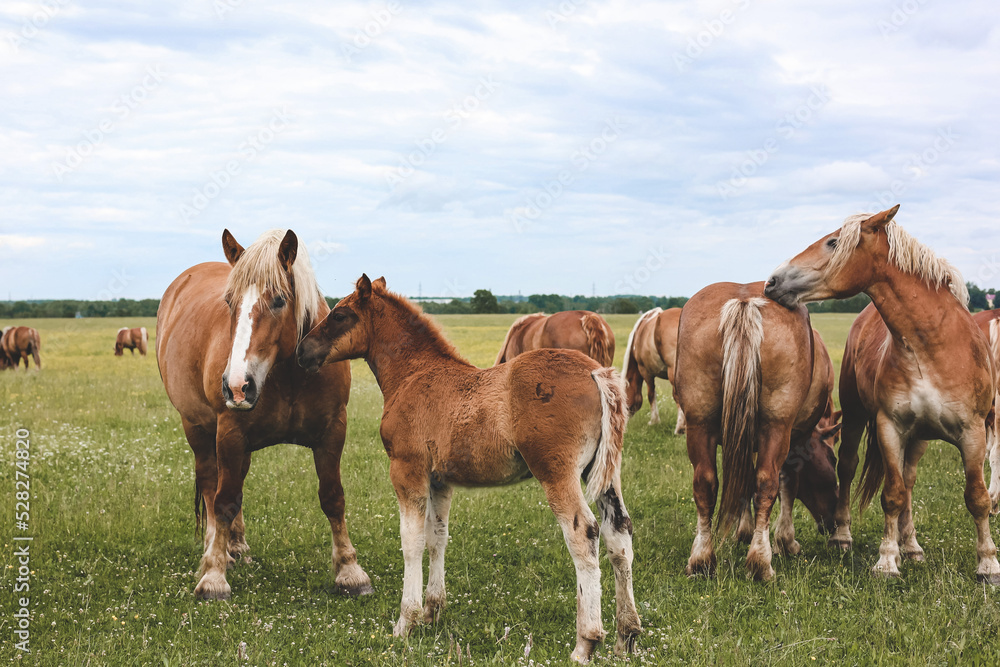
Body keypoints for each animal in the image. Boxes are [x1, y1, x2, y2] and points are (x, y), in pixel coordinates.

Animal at [154, 228, 374, 600]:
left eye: (279, 301)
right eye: (229, 303)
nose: (237, 386)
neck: (288, 373)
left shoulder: (333, 430)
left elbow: (333, 498)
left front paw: (350, 571)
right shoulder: (229, 432)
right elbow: (223, 501)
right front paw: (213, 576)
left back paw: (236, 545)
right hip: (197, 429)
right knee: (212, 487)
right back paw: (217, 548)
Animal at [296, 276, 640, 664]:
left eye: (340, 315)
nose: (302, 351)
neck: (413, 375)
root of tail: (597, 371)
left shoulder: (406, 470)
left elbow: (411, 541)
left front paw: (405, 622)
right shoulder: (440, 481)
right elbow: (437, 537)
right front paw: (431, 612)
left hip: (557, 473)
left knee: (584, 534)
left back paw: (586, 642)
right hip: (604, 473)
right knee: (619, 533)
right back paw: (627, 635)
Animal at [672, 280, 836, 580]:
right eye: (833, 460)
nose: (831, 524)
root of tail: (745, 302)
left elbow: (743, 479)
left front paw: (744, 530)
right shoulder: (796, 438)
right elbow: (786, 484)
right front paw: (785, 540)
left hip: (699, 424)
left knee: (705, 483)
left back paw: (701, 559)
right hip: (777, 427)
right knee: (767, 483)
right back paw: (761, 562)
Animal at [764, 205, 1000, 584]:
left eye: (833, 242)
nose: (772, 281)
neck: (932, 348)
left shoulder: (973, 433)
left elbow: (975, 497)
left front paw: (988, 564)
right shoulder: (890, 427)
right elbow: (891, 495)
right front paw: (887, 560)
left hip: (920, 438)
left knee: (910, 480)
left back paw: (912, 546)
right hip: (856, 417)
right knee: (849, 468)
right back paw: (843, 537)